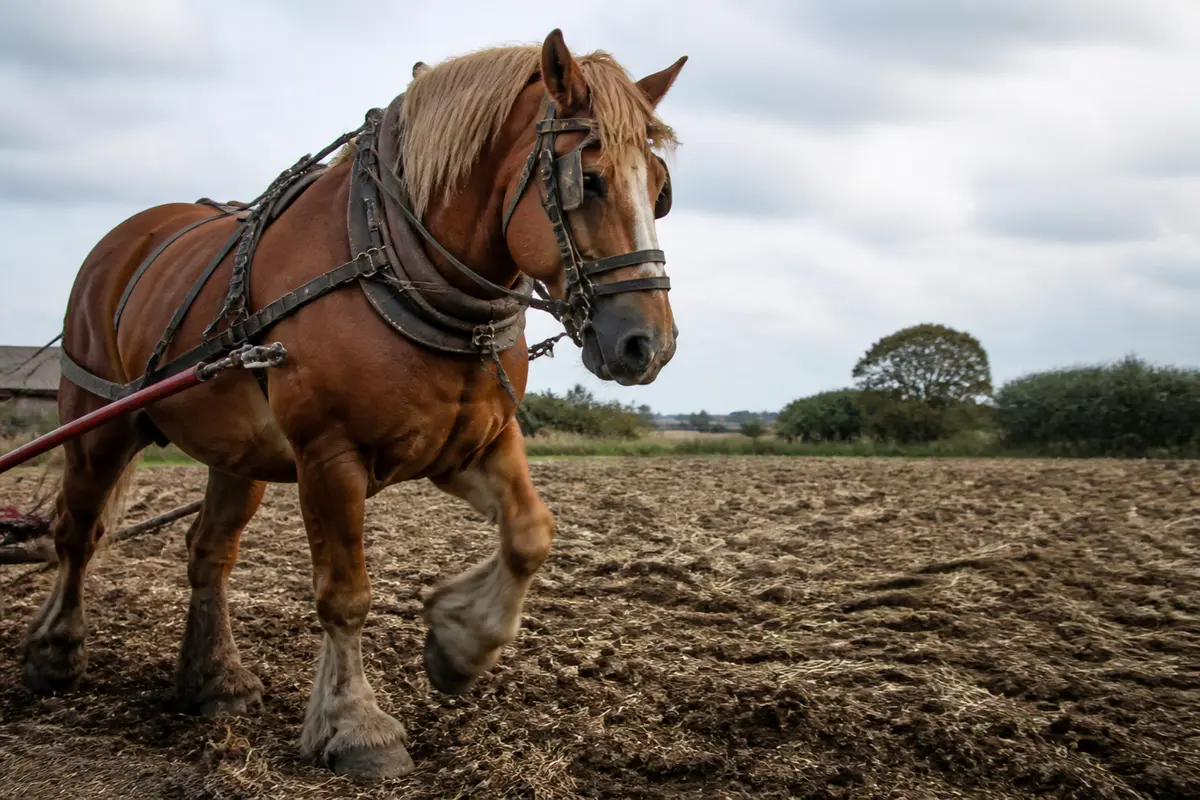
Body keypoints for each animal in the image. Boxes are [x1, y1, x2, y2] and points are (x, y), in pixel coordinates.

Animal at [18, 29, 686, 780]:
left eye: (659, 189)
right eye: (588, 179)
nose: (648, 344)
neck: (396, 263)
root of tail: (128, 236)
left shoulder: (472, 443)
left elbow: (531, 533)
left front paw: (457, 643)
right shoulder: (328, 456)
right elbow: (345, 594)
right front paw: (356, 725)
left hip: (238, 452)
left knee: (208, 553)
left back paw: (216, 680)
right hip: (97, 425)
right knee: (77, 533)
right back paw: (55, 652)